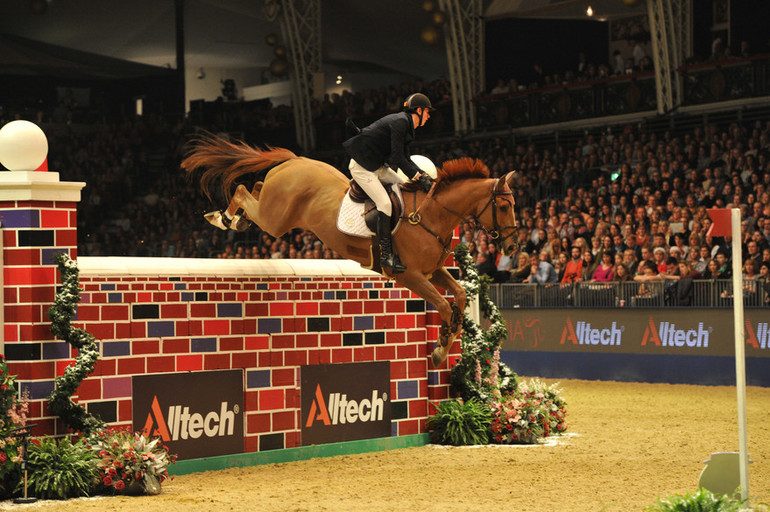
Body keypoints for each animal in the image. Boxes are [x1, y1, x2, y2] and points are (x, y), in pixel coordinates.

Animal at [181, 135, 520, 368]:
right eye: (504, 206)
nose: (513, 246)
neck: (431, 214)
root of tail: (295, 159)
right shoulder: (409, 275)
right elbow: (444, 306)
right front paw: (439, 352)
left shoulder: (433, 271)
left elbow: (459, 297)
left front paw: (442, 345)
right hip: (275, 221)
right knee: (242, 191)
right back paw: (222, 218)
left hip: (275, 213)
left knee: (256, 188)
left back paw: (233, 219)